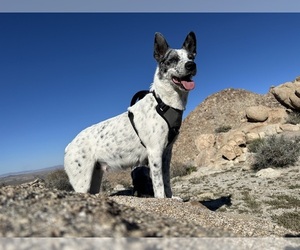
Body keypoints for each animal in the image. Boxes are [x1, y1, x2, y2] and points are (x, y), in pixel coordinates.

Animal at [64, 31, 197, 198]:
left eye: (191, 57)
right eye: (172, 59)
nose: (191, 65)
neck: (164, 103)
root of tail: (69, 146)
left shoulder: (166, 153)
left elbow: (166, 180)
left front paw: (171, 198)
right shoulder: (155, 152)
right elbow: (159, 185)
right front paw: (162, 198)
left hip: (95, 178)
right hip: (82, 182)